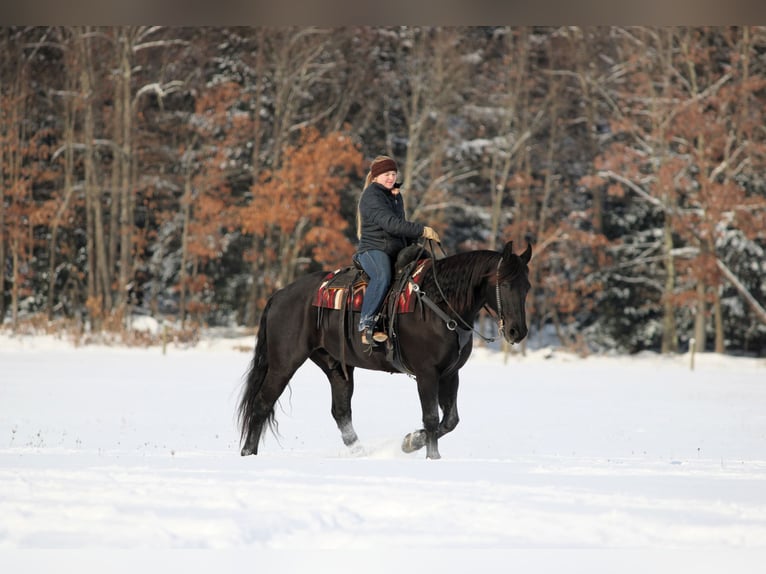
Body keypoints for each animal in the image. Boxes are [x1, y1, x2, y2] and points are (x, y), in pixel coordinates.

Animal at [238, 240, 532, 459]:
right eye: (505, 284)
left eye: (526, 287)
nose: (517, 331)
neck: (438, 304)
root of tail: (279, 294)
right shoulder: (427, 374)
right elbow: (432, 418)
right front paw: (430, 456)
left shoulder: (450, 373)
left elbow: (450, 420)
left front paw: (410, 441)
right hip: (284, 363)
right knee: (262, 403)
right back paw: (248, 453)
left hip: (335, 365)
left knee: (341, 412)